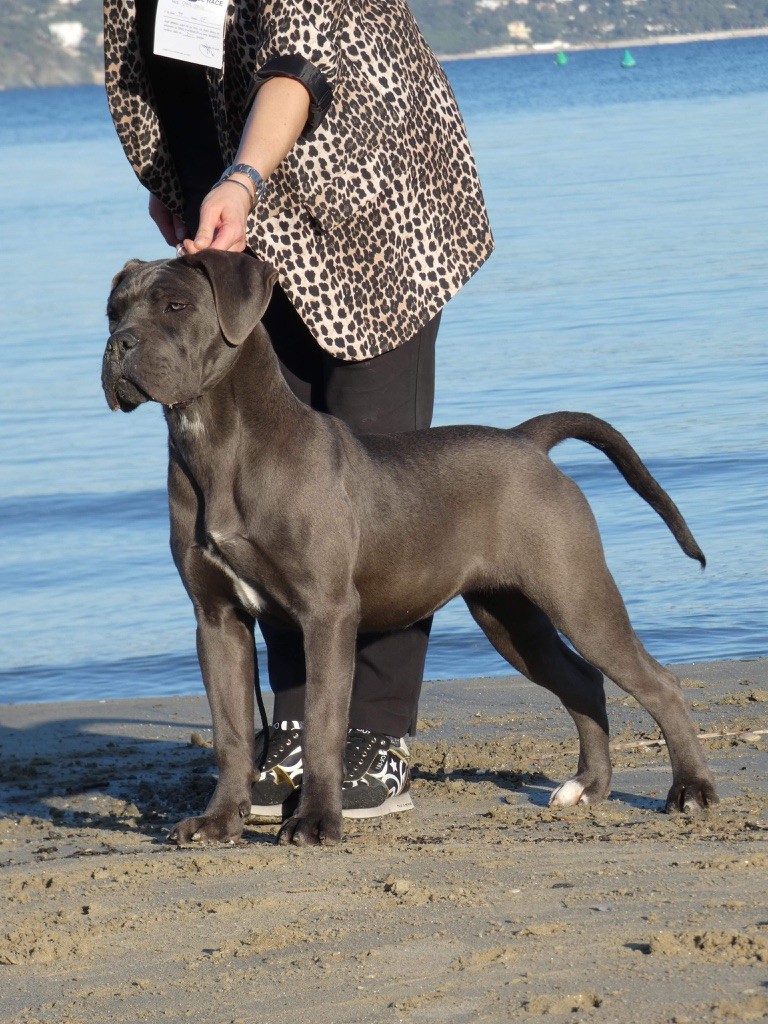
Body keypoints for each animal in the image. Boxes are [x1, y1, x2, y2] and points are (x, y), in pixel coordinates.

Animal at [99, 249, 720, 847]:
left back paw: (691, 790)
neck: (220, 443)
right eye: (113, 311)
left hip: (578, 596)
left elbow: (324, 725)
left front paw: (316, 822)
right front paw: (220, 822)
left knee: (657, 682)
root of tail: (527, 440)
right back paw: (588, 786)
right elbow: (229, 733)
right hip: (512, 620)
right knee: (583, 682)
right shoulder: (218, 620)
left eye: (177, 306)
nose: (118, 344)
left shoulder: (326, 613)